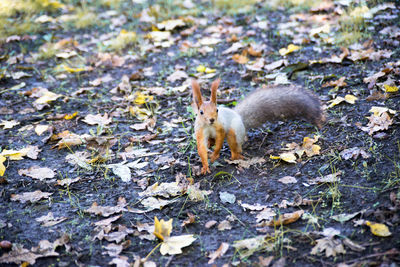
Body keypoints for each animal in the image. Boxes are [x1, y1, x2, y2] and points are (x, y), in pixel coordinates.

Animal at [192, 78, 326, 175]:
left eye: (217, 110)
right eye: (201, 112)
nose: (212, 119)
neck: (209, 125)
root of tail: (238, 115)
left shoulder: (220, 127)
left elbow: (220, 140)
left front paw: (215, 155)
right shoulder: (200, 130)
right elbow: (201, 147)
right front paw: (205, 166)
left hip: (235, 130)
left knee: (235, 144)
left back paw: (235, 156)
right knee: (212, 141)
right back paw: (211, 143)